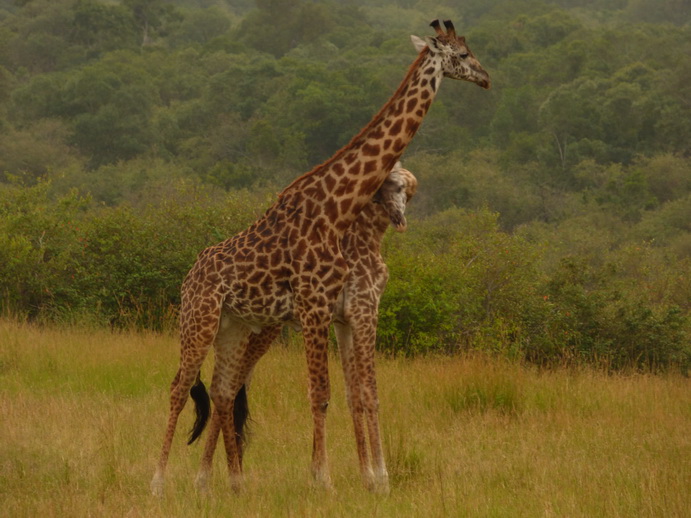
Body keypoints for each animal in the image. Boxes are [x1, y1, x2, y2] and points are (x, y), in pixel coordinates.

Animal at [189, 164, 416, 496]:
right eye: (392, 185)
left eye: (406, 189)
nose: (400, 219)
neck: (368, 238)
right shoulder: (365, 312)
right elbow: (369, 394)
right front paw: (381, 480)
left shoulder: (344, 321)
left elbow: (354, 395)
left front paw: (365, 477)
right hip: (259, 333)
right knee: (228, 390)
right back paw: (209, 478)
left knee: (230, 389)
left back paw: (213, 476)